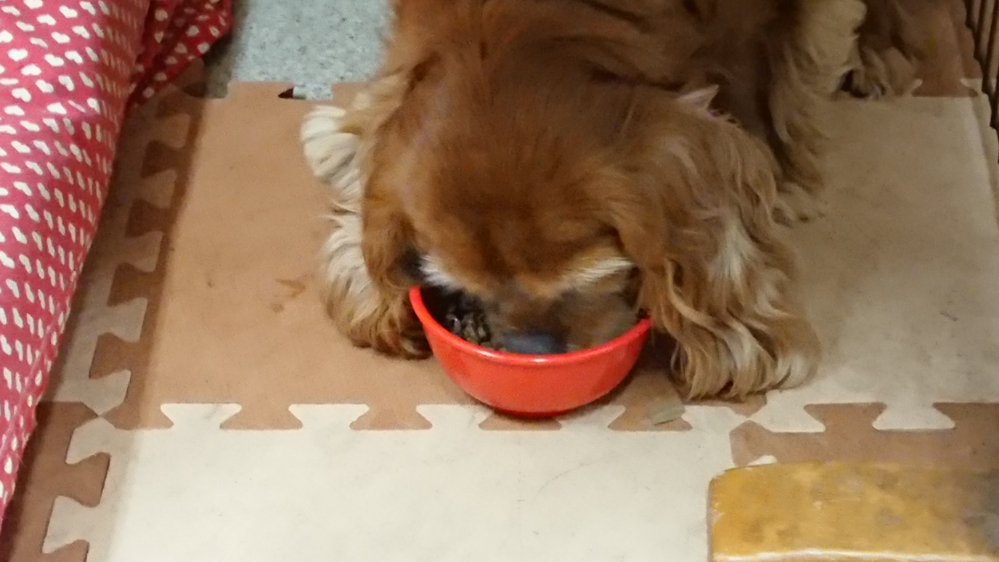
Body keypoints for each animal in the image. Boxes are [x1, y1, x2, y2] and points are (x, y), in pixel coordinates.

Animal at [301, 0, 923, 398]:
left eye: (591, 277)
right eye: (461, 285)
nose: (529, 347)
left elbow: (788, 67)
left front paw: (786, 169)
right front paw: (349, 139)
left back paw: (881, 56)